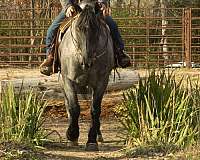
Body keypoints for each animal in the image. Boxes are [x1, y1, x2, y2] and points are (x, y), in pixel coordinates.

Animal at [57, 1, 114, 151]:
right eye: (78, 28)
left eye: (96, 29)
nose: (87, 61)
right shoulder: (68, 80)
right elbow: (74, 108)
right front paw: (72, 135)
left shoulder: (101, 83)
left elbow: (95, 110)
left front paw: (92, 140)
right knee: (68, 105)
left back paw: (98, 134)